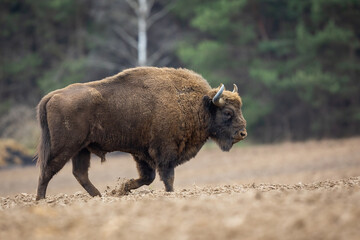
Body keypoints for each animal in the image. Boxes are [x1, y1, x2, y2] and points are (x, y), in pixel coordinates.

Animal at [35, 66, 246, 200]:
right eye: (228, 112)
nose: (243, 133)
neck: (197, 103)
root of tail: (52, 95)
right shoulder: (164, 152)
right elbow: (167, 177)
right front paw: (171, 194)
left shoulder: (142, 154)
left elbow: (148, 177)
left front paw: (124, 188)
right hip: (65, 147)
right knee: (47, 171)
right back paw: (40, 200)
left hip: (82, 149)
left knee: (80, 173)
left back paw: (100, 196)